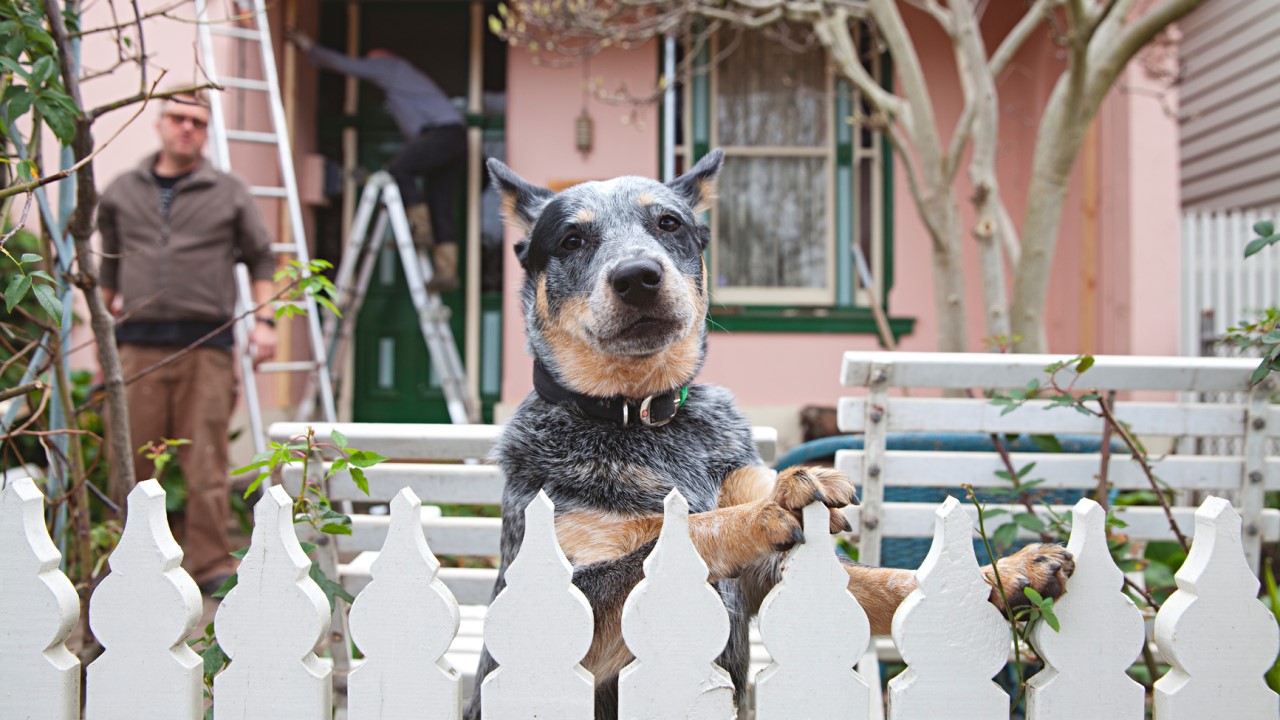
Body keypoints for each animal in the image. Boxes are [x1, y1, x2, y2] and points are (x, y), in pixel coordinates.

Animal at [465, 148, 1075, 712]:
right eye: (571, 239)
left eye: (669, 223)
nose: (637, 275)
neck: (645, 416)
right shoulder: (558, 610)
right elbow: (683, 531)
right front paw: (766, 509)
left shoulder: (778, 569)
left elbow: (893, 582)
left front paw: (1008, 574)